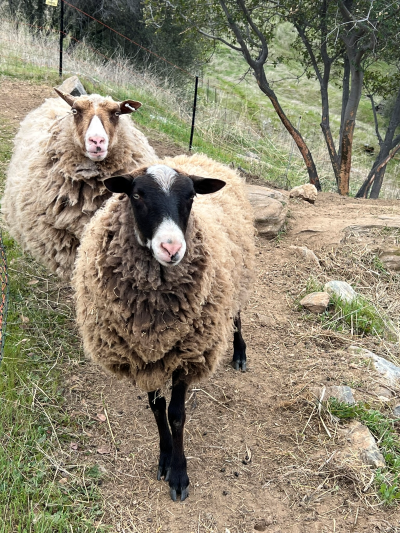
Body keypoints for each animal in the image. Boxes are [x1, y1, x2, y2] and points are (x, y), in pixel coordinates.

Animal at [73, 153, 255, 498]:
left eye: (191, 197)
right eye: (136, 195)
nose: (172, 249)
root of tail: (199, 156)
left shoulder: (188, 354)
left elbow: (177, 415)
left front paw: (179, 475)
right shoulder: (143, 356)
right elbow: (157, 408)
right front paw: (165, 457)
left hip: (236, 277)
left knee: (237, 316)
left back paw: (239, 353)